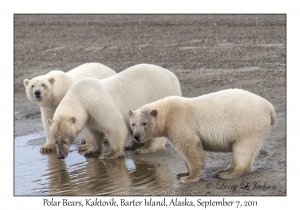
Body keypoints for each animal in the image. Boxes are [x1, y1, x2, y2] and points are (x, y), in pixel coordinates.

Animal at [48, 63, 182, 159]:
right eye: (55, 141)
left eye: (66, 140)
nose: (60, 156)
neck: (81, 96)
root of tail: (173, 76)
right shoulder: (90, 117)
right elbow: (94, 133)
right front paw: (91, 151)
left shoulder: (98, 104)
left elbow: (114, 125)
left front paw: (111, 154)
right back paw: (132, 145)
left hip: (159, 94)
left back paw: (145, 148)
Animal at [127, 89, 276, 183]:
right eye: (133, 124)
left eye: (144, 123)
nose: (137, 136)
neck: (167, 113)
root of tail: (269, 108)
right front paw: (183, 173)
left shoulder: (180, 123)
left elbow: (190, 147)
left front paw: (189, 178)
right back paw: (224, 169)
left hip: (247, 125)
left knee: (243, 148)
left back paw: (228, 173)